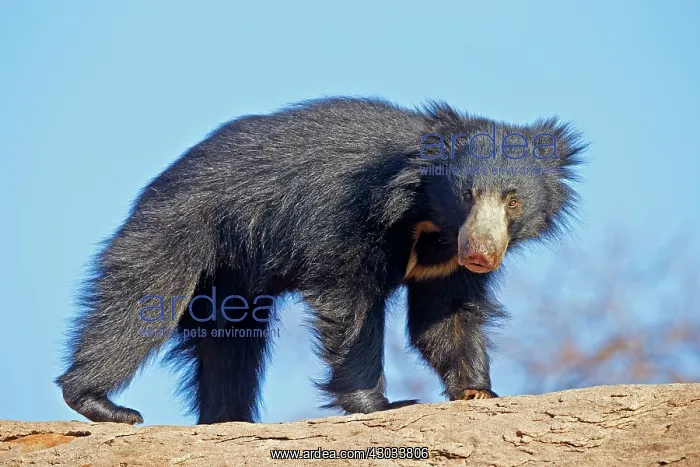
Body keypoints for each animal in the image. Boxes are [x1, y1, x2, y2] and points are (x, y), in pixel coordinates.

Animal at [55, 97, 585, 424]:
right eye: (467, 195)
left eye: (513, 201)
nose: (479, 254)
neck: (429, 222)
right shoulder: (350, 217)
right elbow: (351, 305)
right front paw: (382, 405)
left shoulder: (443, 264)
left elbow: (444, 317)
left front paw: (477, 391)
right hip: (181, 227)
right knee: (141, 301)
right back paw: (101, 404)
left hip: (232, 278)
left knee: (231, 341)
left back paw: (228, 418)